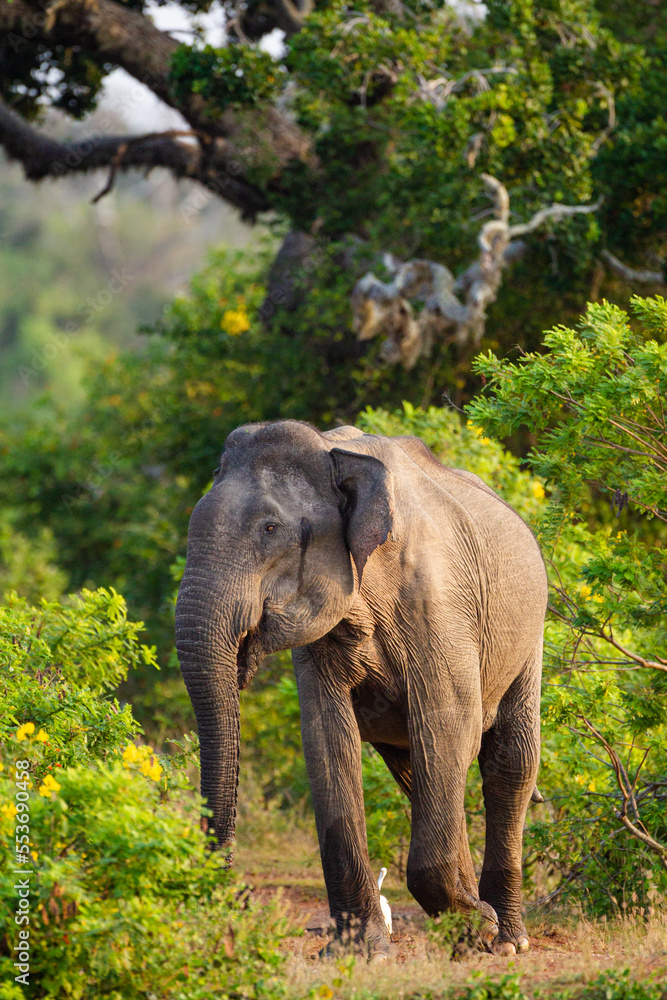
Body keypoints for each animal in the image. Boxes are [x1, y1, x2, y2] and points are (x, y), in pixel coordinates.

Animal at [175, 419, 547, 959]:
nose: (234, 900)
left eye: (270, 529)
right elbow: (327, 739)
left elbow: (449, 722)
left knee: (506, 762)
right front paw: (359, 953)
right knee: (419, 770)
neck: (333, 453)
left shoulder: (438, 602)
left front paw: (479, 926)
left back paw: (506, 941)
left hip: (530, 631)